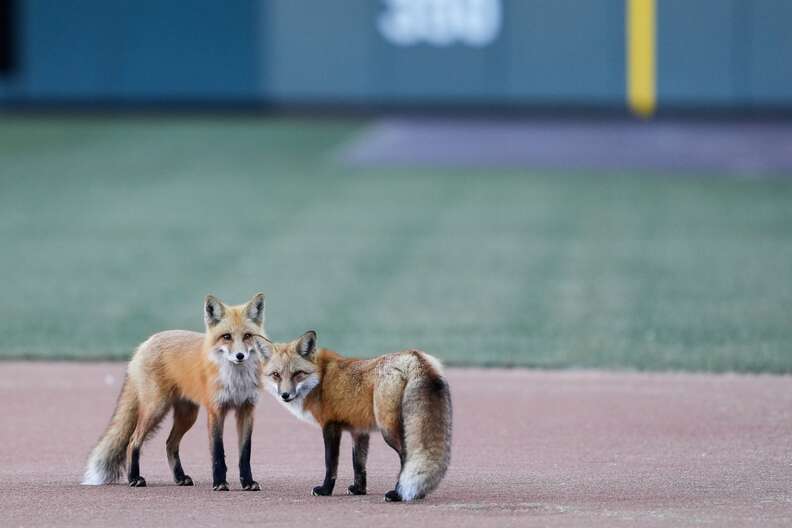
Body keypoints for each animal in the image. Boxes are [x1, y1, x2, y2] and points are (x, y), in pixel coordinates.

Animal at [83, 292, 268, 490]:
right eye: (227, 336)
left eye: (248, 336)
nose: (240, 356)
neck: (237, 381)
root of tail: (146, 342)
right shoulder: (216, 410)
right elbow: (218, 452)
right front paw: (219, 482)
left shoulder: (247, 410)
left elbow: (245, 454)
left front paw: (247, 482)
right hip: (156, 409)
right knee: (133, 441)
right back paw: (134, 478)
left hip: (187, 415)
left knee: (170, 443)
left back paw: (179, 477)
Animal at [262, 332, 452, 502]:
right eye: (276, 375)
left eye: (298, 373)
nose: (285, 395)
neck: (321, 379)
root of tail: (414, 356)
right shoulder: (359, 430)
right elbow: (359, 464)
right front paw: (359, 490)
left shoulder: (330, 426)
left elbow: (330, 463)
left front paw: (325, 490)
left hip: (388, 430)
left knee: (407, 458)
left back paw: (397, 494)